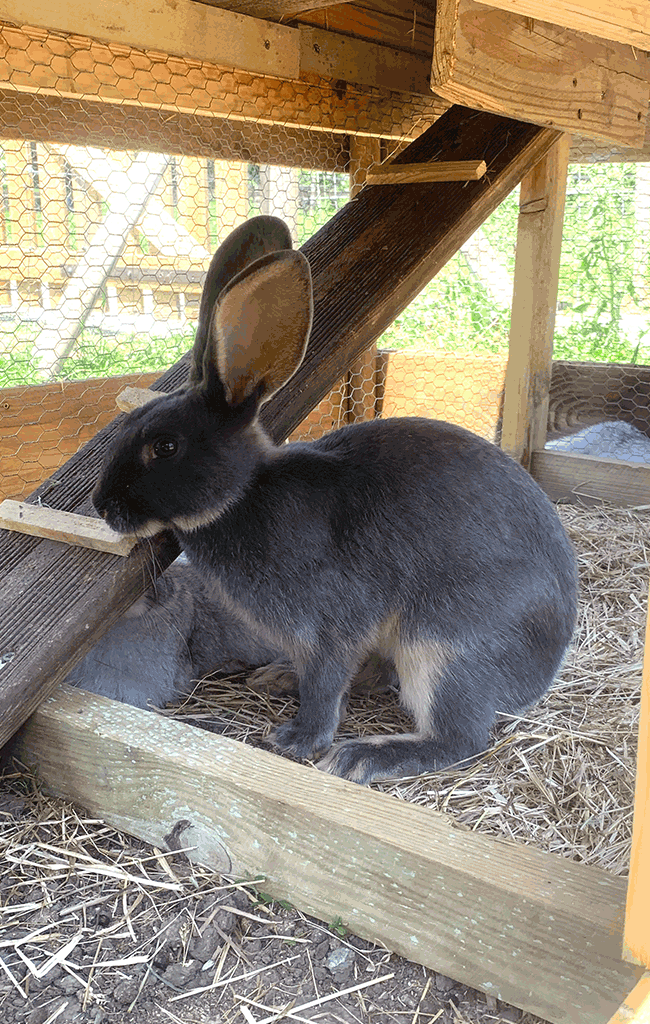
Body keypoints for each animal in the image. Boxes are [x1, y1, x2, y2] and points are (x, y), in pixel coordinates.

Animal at [92, 215, 578, 784]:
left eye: (165, 447)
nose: (102, 505)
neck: (243, 494)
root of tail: (541, 676)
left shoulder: (329, 625)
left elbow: (325, 685)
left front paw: (299, 740)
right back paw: (279, 678)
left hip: (445, 648)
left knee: (459, 738)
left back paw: (362, 754)